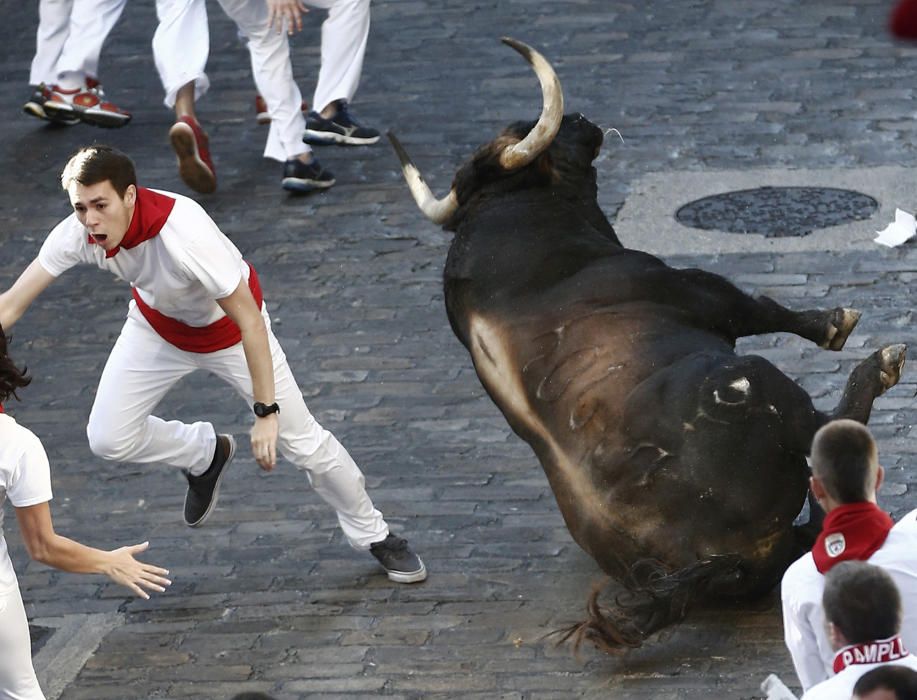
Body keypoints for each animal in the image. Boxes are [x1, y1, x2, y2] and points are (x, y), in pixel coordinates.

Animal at [386, 38, 900, 652]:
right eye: (536, 131)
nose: (582, 119)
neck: (504, 218)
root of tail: (710, 558)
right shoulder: (695, 290)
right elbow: (760, 306)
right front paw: (835, 323)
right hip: (757, 381)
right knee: (828, 427)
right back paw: (879, 366)